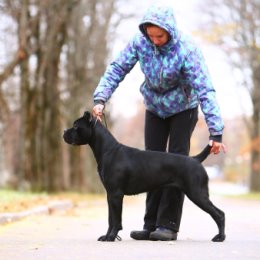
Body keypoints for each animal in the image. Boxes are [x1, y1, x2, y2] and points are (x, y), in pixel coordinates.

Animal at [63, 111, 225, 242]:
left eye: (76, 126)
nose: (64, 131)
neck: (107, 150)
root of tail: (195, 159)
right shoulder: (110, 194)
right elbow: (110, 219)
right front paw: (107, 236)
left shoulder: (116, 194)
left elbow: (116, 220)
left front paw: (111, 237)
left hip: (197, 194)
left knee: (219, 214)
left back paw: (220, 237)